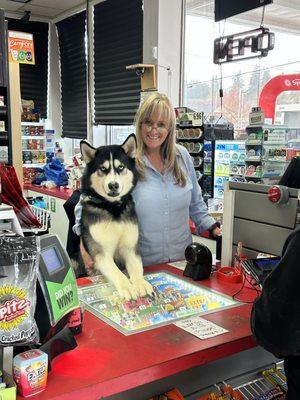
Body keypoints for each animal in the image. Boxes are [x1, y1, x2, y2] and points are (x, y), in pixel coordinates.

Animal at [79, 134, 152, 300]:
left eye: (120, 167)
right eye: (103, 169)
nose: (113, 185)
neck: (113, 209)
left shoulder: (131, 248)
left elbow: (137, 268)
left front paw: (140, 283)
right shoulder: (101, 254)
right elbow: (117, 273)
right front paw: (127, 287)